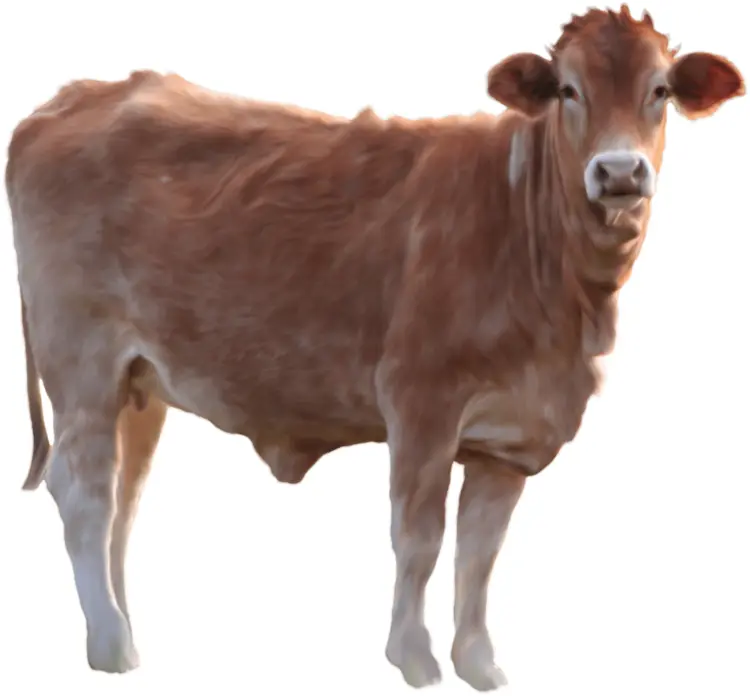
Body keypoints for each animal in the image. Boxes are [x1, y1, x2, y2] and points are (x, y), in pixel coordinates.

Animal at [6, 4, 744, 691]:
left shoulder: (510, 437)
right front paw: (414, 657)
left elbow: (480, 553)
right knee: (84, 494)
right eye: (568, 89)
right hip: (82, 362)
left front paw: (479, 663)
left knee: (122, 502)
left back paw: (123, 632)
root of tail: (71, 99)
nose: (618, 172)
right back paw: (110, 643)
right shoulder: (420, 402)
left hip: (139, 383)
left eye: (659, 90)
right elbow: (420, 539)